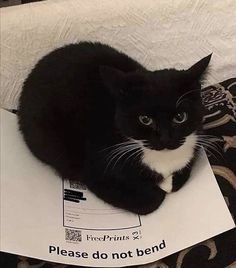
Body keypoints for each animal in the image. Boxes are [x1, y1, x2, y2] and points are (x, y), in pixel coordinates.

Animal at [17, 41, 211, 214]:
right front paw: (159, 189)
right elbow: (152, 200)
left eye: (180, 117)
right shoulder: (96, 167)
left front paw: (169, 183)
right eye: (145, 119)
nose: (165, 138)